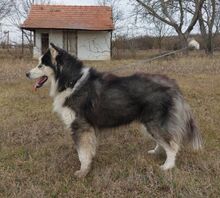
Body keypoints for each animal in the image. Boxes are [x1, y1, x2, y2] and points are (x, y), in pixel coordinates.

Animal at [24, 43, 202, 178]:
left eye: (41, 65)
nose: (26, 74)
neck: (71, 82)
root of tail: (172, 84)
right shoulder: (87, 129)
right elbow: (87, 151)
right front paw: (88, 165)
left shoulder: (80, 126)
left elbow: (82, 153)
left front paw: (83, 171)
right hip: (149, 123)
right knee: (164, 141)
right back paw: (156, 152)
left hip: (154, 122)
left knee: (172, 145)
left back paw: (167, 166)